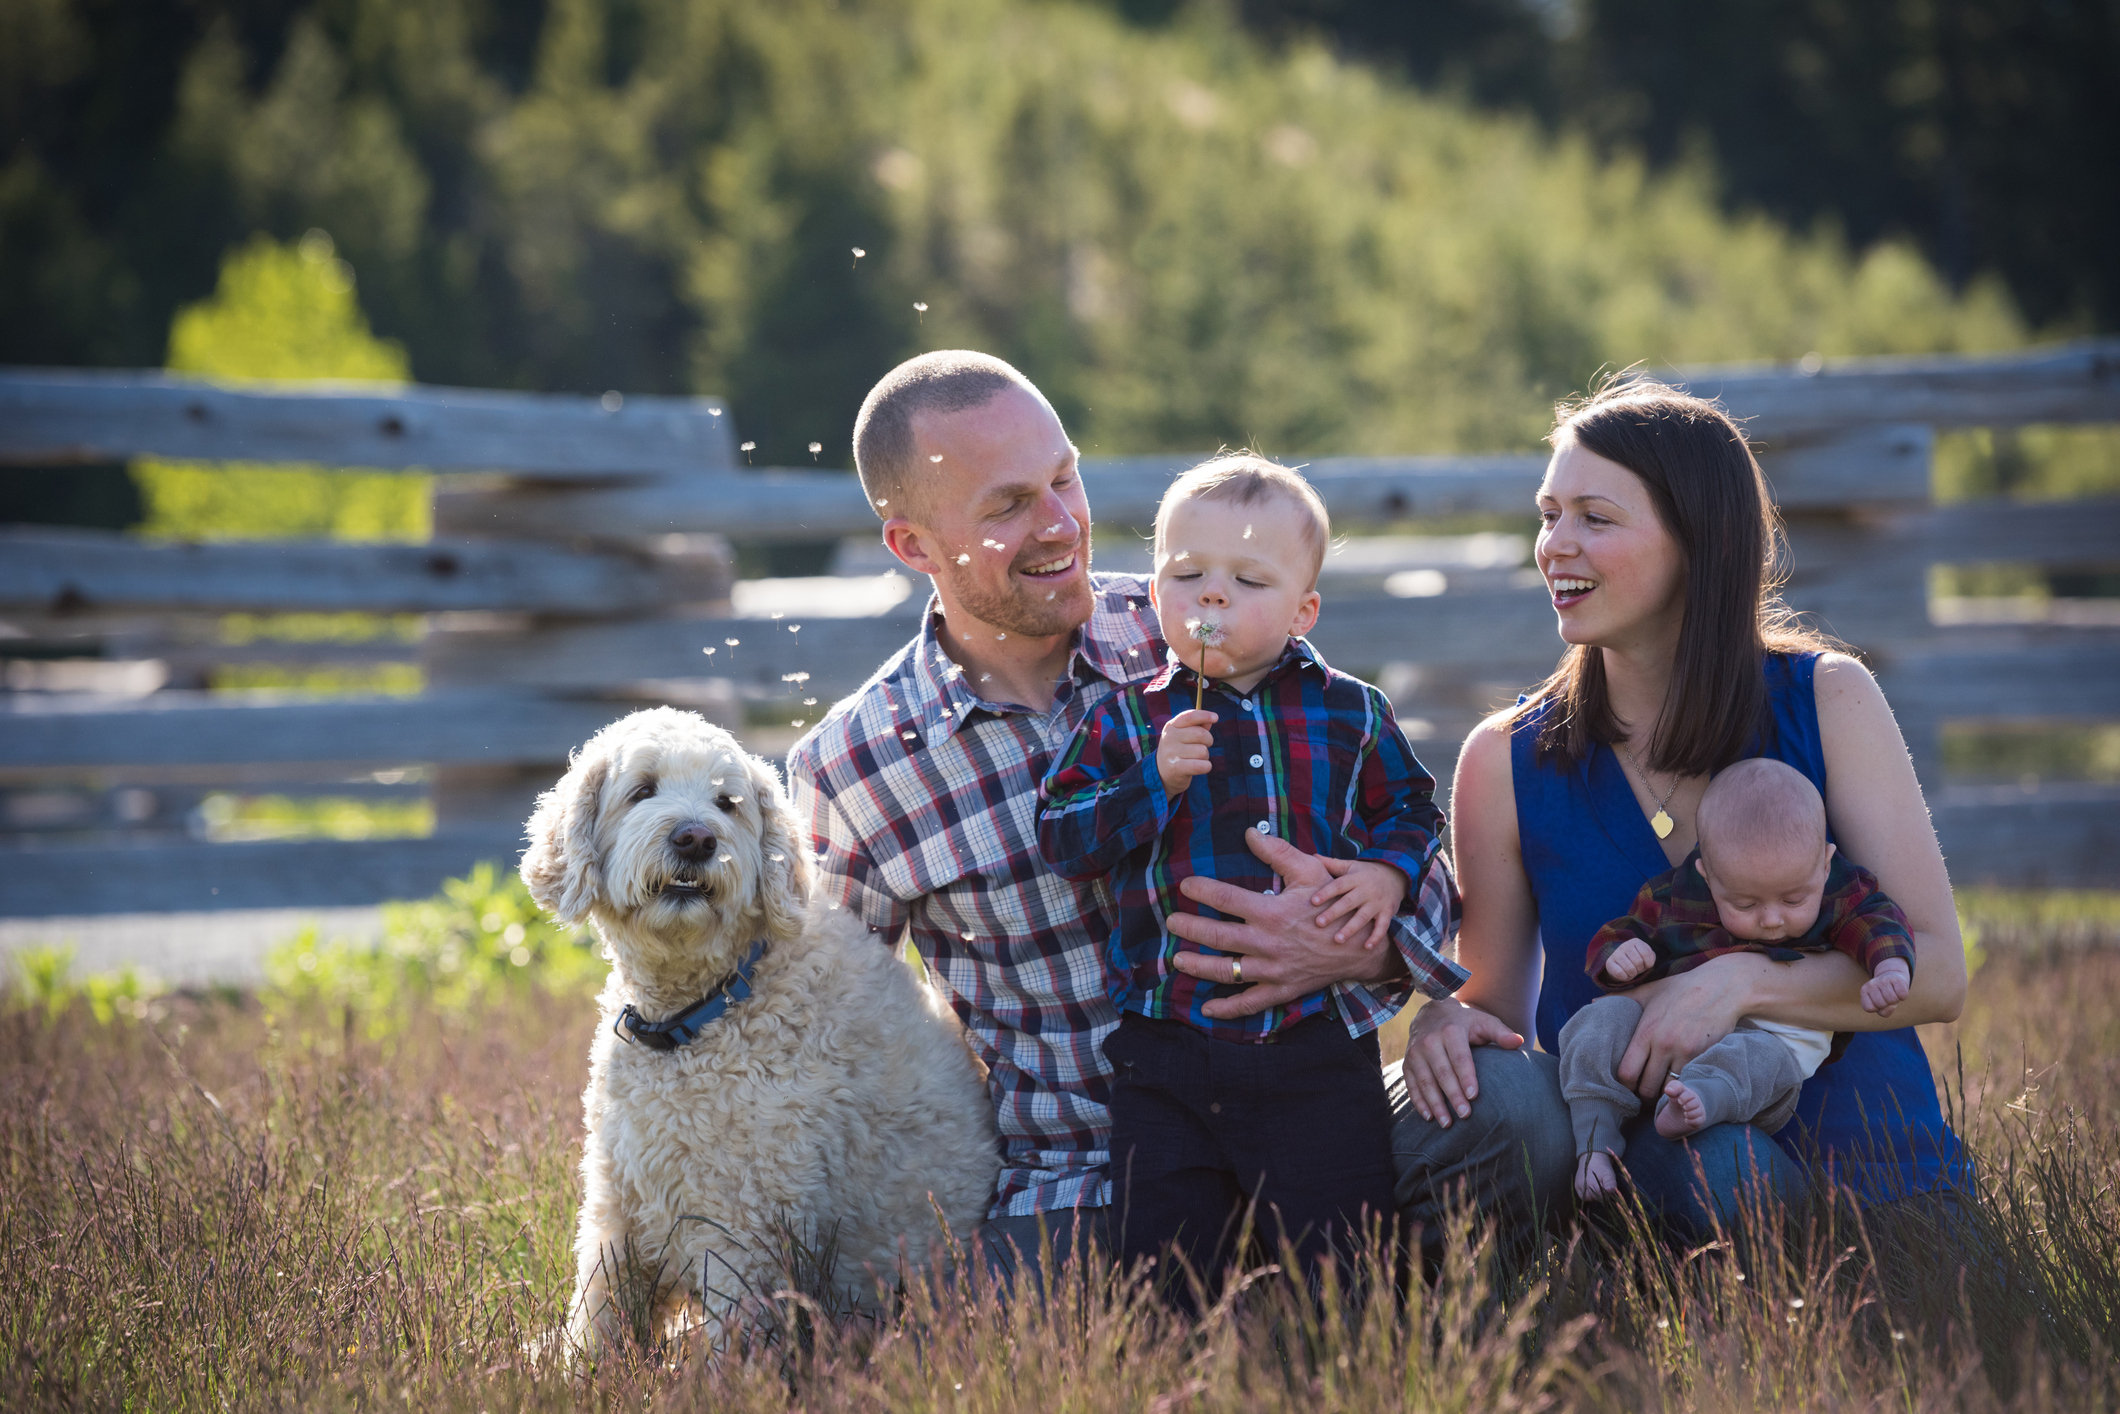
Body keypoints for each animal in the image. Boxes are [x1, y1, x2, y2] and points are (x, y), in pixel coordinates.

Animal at [521, 712, 1000, 1356]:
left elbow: (730, 1347)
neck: (706, 1010)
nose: (696, 839)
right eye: (642, 790)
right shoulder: (617, 1201)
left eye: (728, 804)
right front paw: (571, 1365)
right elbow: (598, 1314)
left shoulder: (742, 1227)